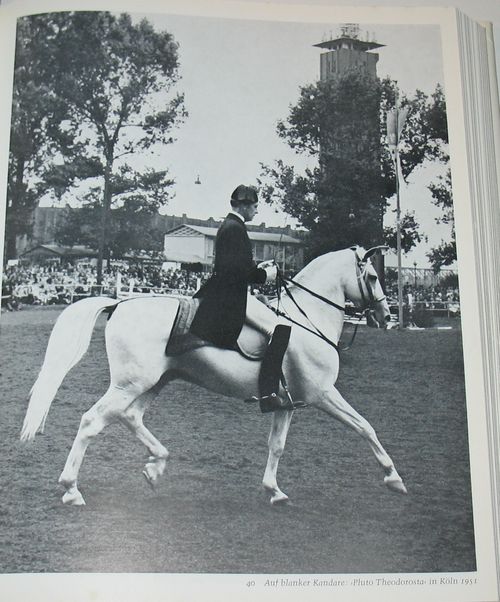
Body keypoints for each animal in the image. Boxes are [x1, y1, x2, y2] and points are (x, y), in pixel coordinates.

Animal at [20, 245, 407, 506]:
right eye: (373, 276)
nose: (386, 316)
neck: (307, 319)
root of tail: (121, 303)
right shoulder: (324, 394)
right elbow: (365, 427)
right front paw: (394, 477)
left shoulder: (286, 404)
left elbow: (277, 446)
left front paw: (274, 491)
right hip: (130, 383)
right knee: (92, 421)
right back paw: (71, 489)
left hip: (153, 382)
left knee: (129, 417)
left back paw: (155, 466)